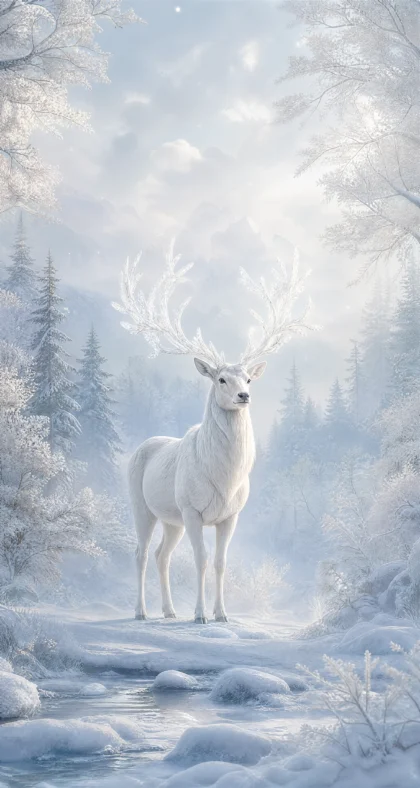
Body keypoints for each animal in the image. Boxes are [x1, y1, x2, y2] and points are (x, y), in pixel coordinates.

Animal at [114, 242, 309, 623]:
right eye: (221, 379)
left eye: (248, 378)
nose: (244, 396)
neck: (225, 478)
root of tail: (144, 445)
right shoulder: (192, 510)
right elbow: (201, 561)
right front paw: (201, 615)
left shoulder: (230, 516)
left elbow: (220, 562)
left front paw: (222, 614)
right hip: (142, 506)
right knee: (141, 553)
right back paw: (141, 612)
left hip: (171, 519)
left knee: (162, 554)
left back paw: (169, 611)